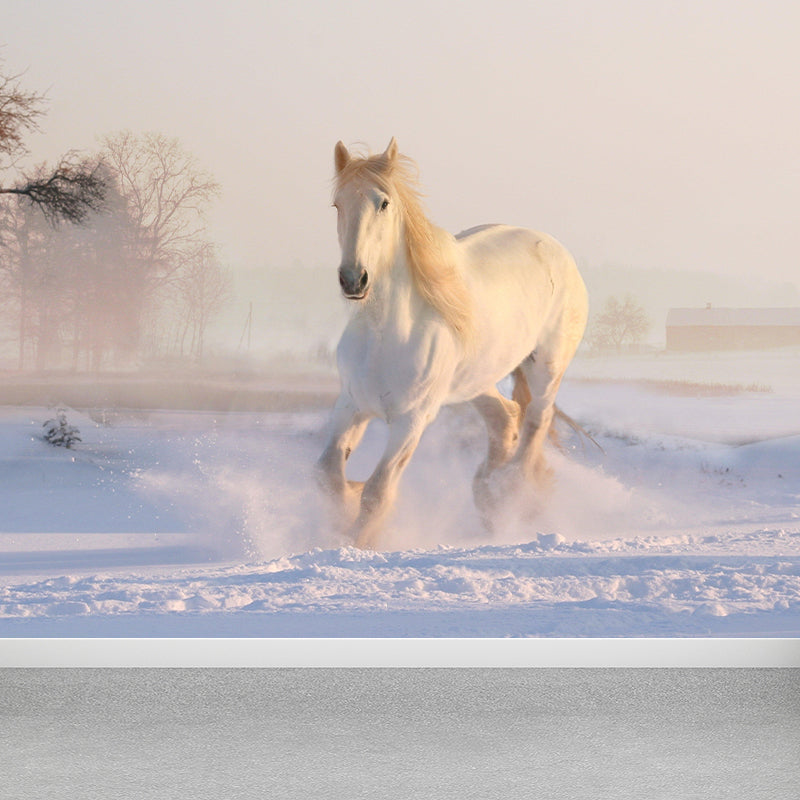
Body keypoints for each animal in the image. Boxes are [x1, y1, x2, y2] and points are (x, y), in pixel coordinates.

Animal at [317, 138, 588, 549]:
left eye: (383, 203)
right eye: (337, 204)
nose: (353, 279)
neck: (385, 335)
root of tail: (558, 251)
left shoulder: (412, 420)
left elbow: (378, 492)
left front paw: (359, 542)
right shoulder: (351, 405)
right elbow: (329, 475)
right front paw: (345, 509)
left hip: (546, 367)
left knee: (535, 423)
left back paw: (511, 494)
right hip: (476, 380)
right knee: (505, 417)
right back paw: (488, 495)